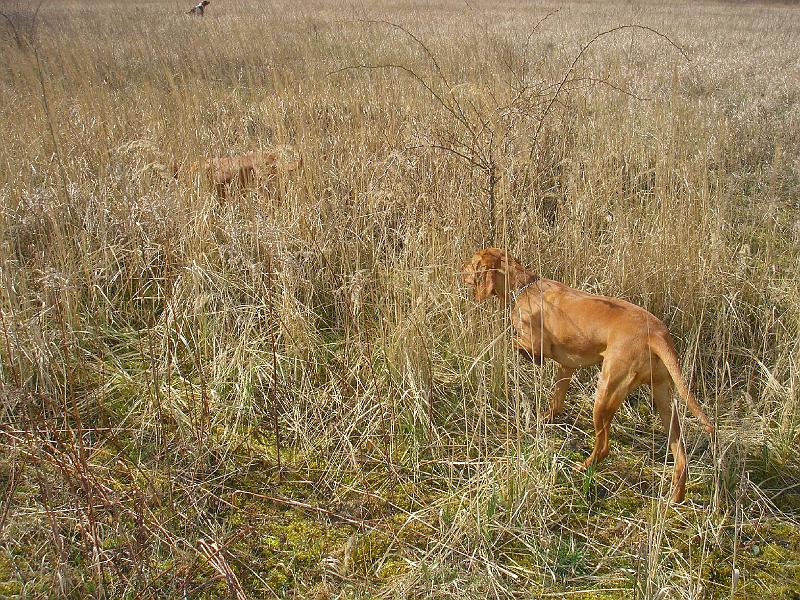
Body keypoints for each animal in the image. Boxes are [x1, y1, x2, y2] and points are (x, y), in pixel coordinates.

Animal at [460, 246, 716, 504]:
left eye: (472, 264)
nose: (460, 270)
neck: (525, 287)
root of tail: (656, 333)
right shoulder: (566, 366)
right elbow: (557, 400)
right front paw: (545, 418)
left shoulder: (536, 348)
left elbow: (511, 341)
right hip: (664, 399)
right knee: (681, 455)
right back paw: (675, 497)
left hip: (606, 393)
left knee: (604, 446)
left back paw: (582, 468)